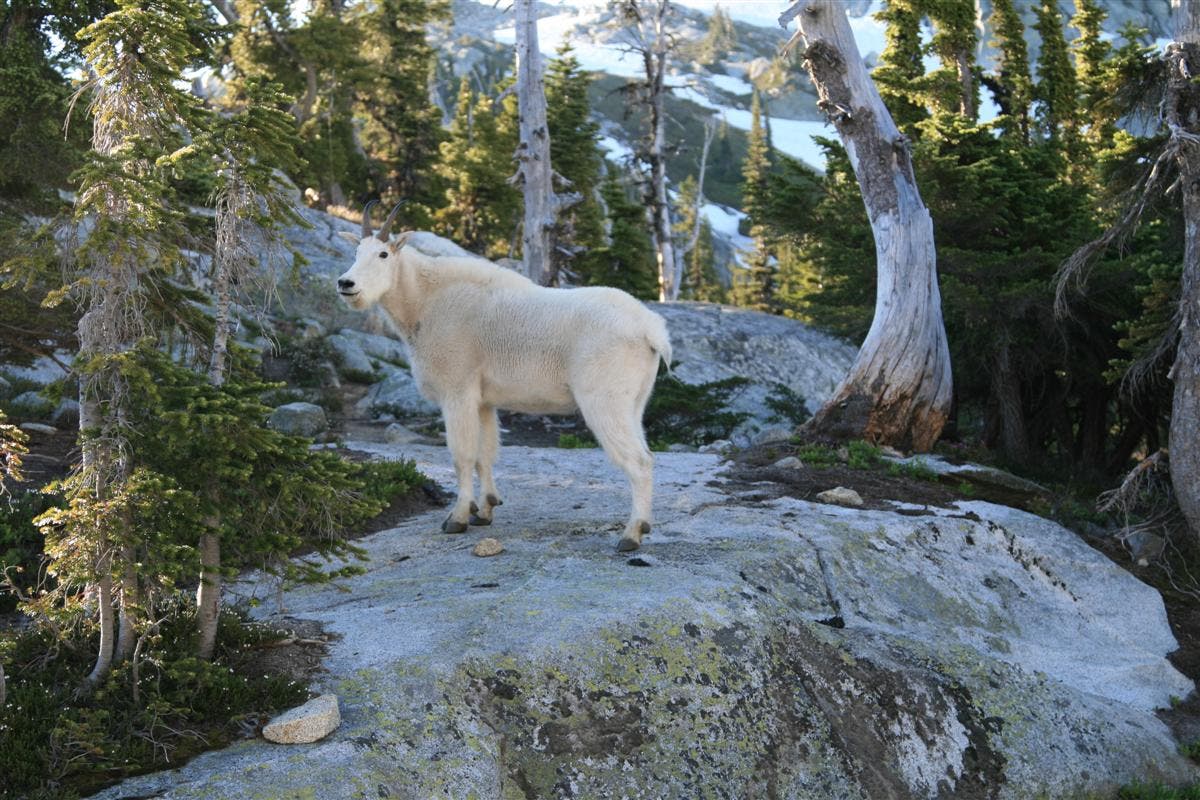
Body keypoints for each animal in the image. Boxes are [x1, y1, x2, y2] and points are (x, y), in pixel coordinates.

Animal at [336, 202, 672, 551]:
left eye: (383, 254)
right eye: (356, 251)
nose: (346, 284)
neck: (424, 301)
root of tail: (651, 329)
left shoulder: (457, 392)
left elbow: (462, 455)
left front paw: (457, 518)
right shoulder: (484, 401)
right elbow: (486, 454)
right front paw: (485, 510)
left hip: (604, 401)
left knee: (638, 462)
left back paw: (631, 534)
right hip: (634, 404)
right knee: (647, 454)